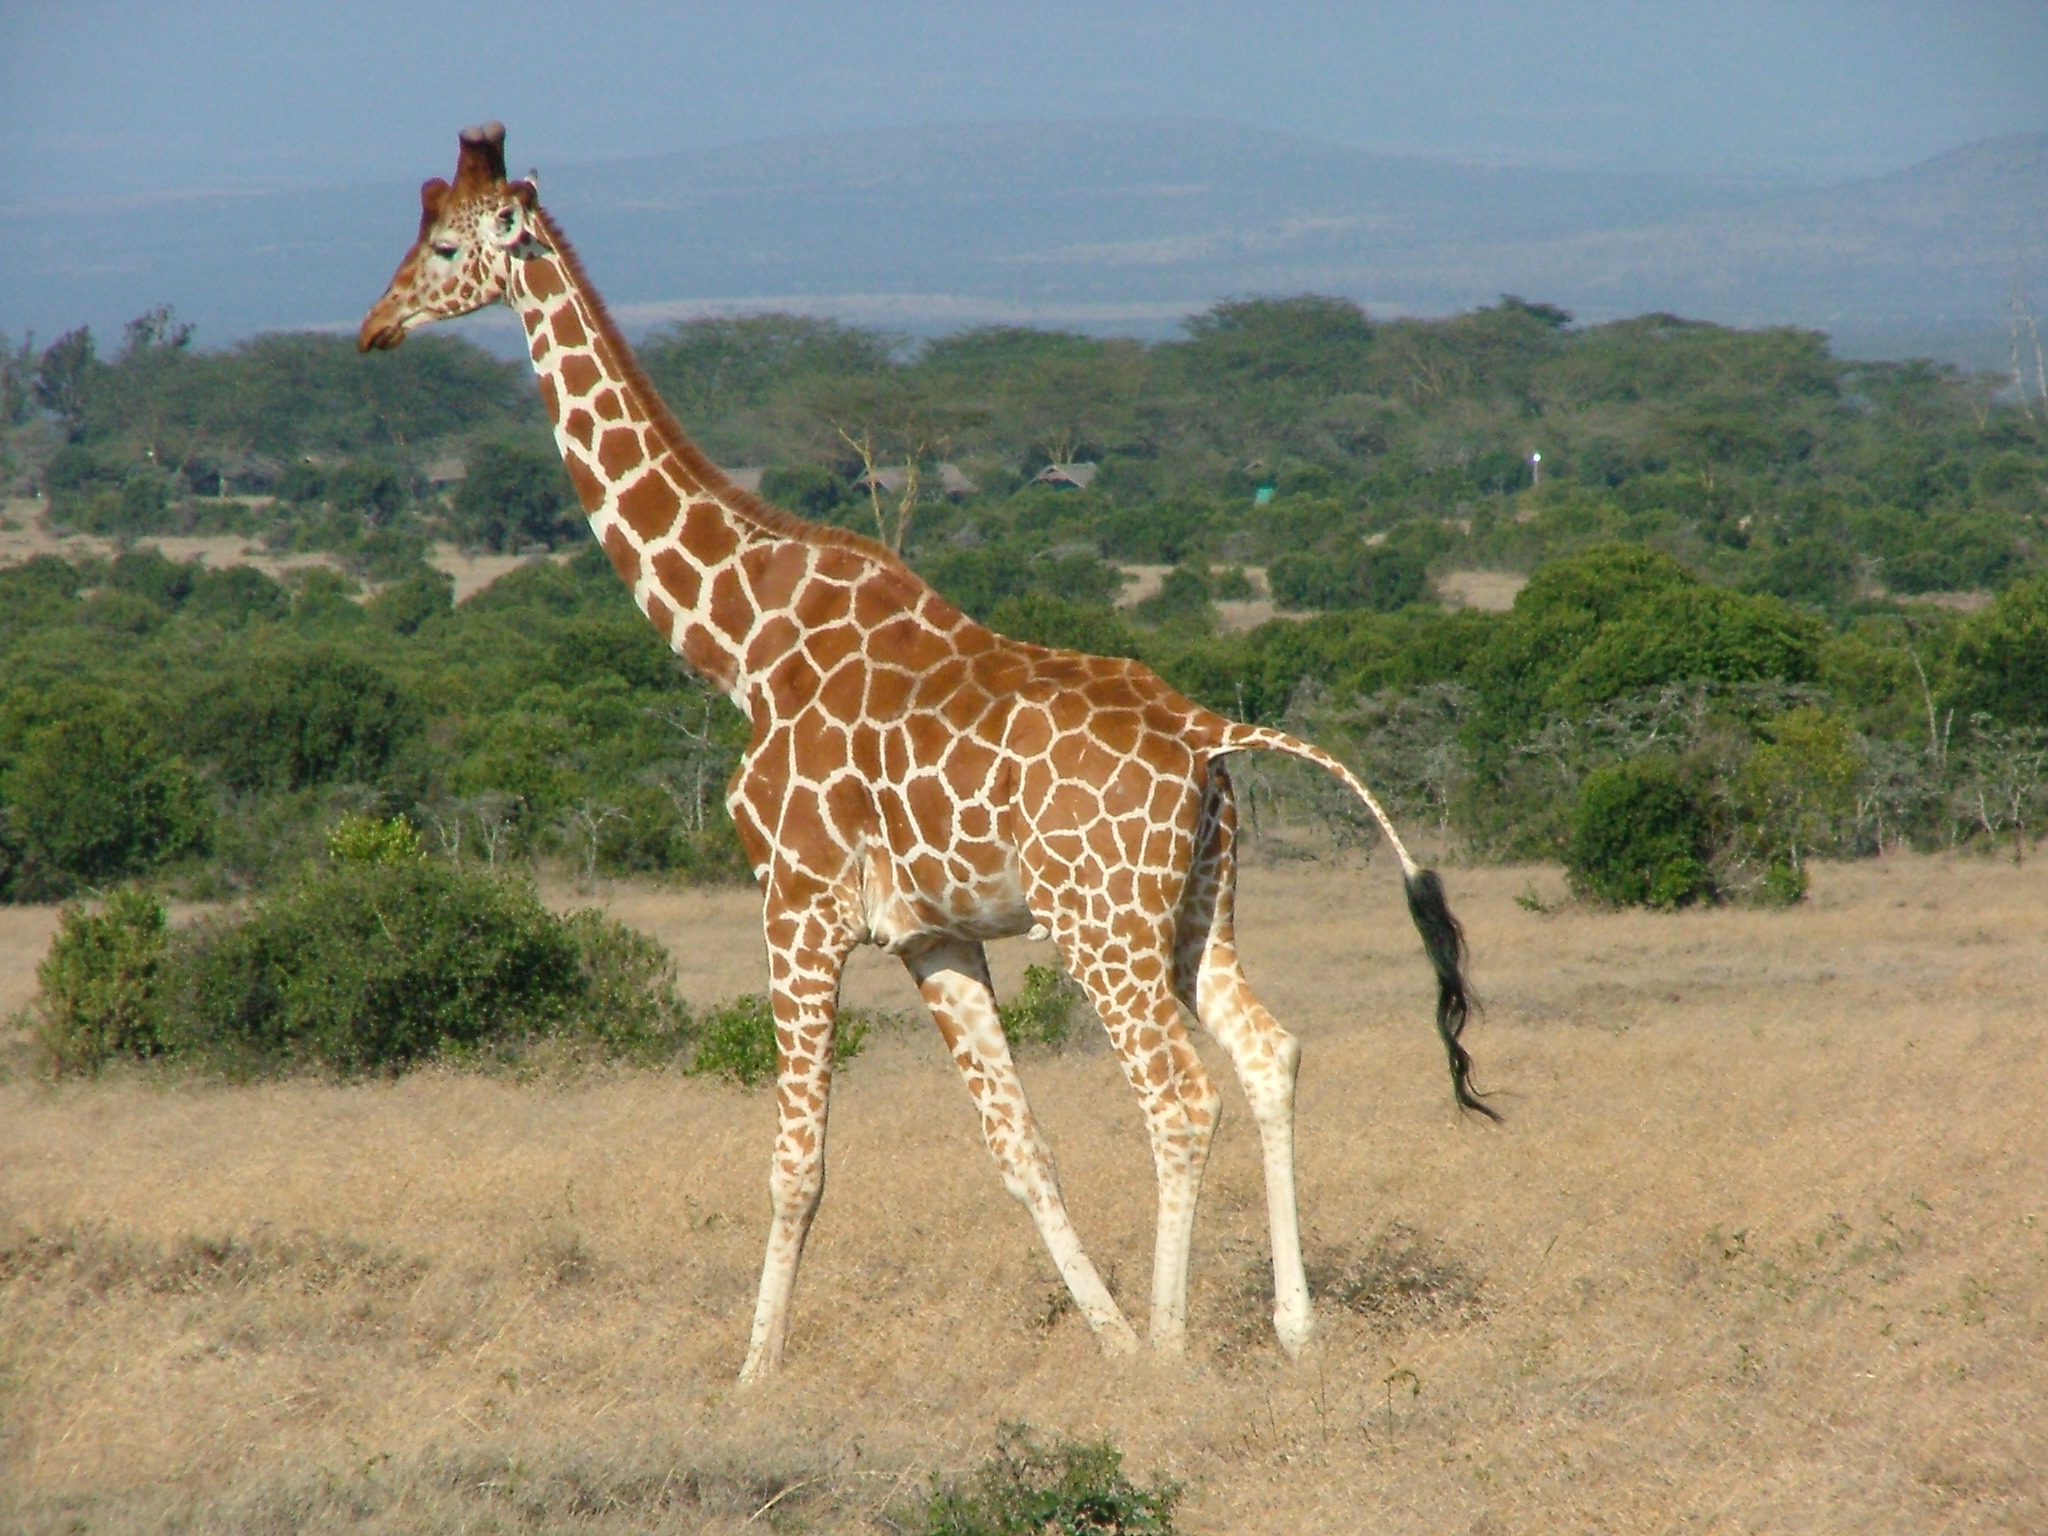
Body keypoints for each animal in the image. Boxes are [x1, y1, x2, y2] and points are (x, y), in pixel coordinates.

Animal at [360, 123, 1496, 1384]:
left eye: (445, 247)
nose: (373, 329)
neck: (741, 641)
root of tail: (1207, 731)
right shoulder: (930, 933)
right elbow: (1018, 1148)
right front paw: (1102, 1339)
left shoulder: (797, 904)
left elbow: (797, 1162)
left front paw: (753, 1375)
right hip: (1198, 906)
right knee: (1267, 1053)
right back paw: (1290, 1329)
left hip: (1100, 924)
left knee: (1176, 1096)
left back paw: (1174, 1346)